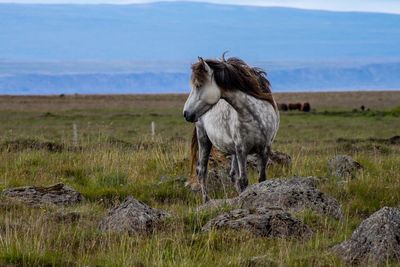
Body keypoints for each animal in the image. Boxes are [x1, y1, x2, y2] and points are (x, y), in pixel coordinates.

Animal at [183, 55, 280, 203]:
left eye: (198, 85)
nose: (186, 113)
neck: (256, 117)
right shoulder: (242, 150)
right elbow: (244, 180)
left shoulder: (265, 149)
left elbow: (261, 179)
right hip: (204, 139)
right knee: (202, 170)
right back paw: (206, 201)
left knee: (232, 175)